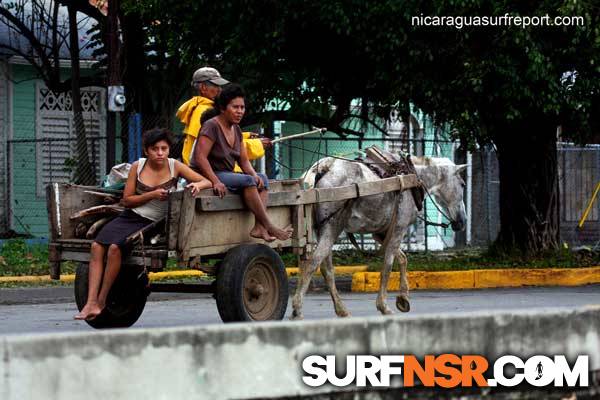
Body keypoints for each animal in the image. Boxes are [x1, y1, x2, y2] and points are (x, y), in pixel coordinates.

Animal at [290, 153, 468, 318]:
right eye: (462, 184)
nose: (463, 221)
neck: (414, 178)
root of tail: (324, 167)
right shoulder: (399, 228)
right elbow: (388, 266)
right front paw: (384, 306)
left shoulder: (381, 233)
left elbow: (402, 258)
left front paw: (403, 299)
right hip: (332, 227)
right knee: (312, 263)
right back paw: (297, 309)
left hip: (322, 229)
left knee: (326, 268)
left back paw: (341, 310)